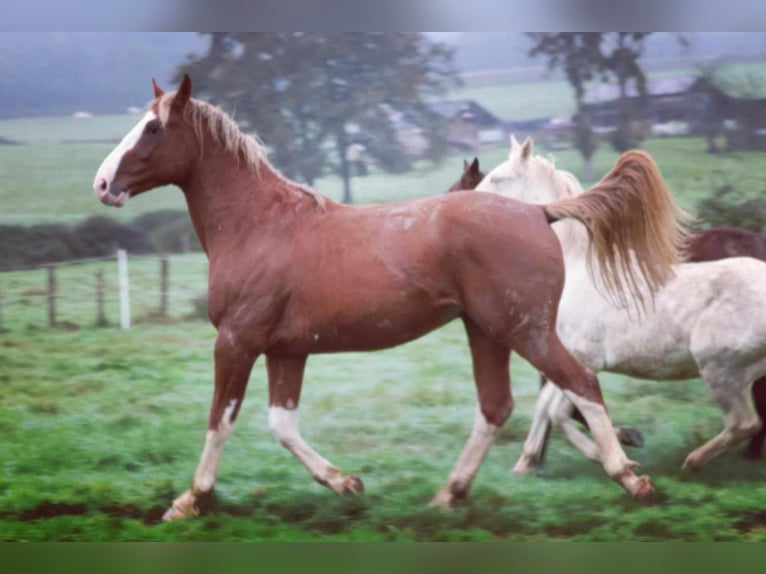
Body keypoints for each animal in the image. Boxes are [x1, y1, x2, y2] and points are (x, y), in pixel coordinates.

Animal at [93, 74, 688, 520]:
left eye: (153, 126)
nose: (102, 184)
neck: (260, 225)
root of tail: (539, 212)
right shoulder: (287, 350)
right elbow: (282, 424)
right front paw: (346, 484)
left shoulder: (236, 342)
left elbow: (221, 418)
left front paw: (189, 501)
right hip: (487, 331)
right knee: (496, 406)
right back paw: (449, 495)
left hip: (526, 330)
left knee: (579, 384)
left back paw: (630, 479)